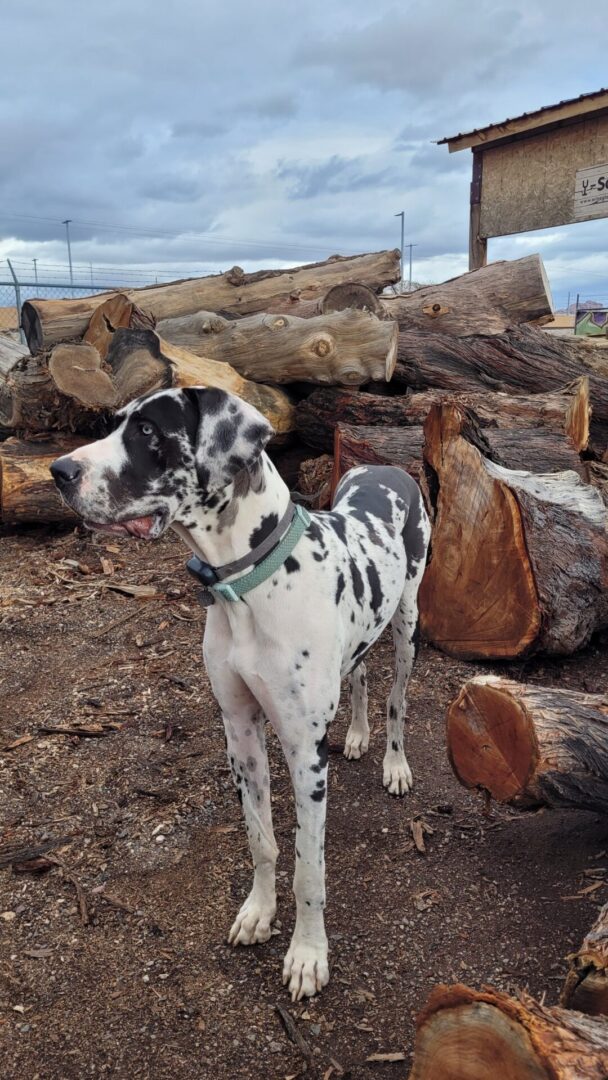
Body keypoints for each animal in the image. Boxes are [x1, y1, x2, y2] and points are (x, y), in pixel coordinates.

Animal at [51, 384, 431, 997]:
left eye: (149, 431)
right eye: (116, 422)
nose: (59, 470)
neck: (248, 586)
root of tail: (387, 465)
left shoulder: (304, 753)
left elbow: (308, 867)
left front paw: (307, 954)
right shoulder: (240, 733)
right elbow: (260, 838)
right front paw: (258, 912)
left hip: (408, 621)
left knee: (396, 696)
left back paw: (394, 763)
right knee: (360, 674)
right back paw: (356, 733)